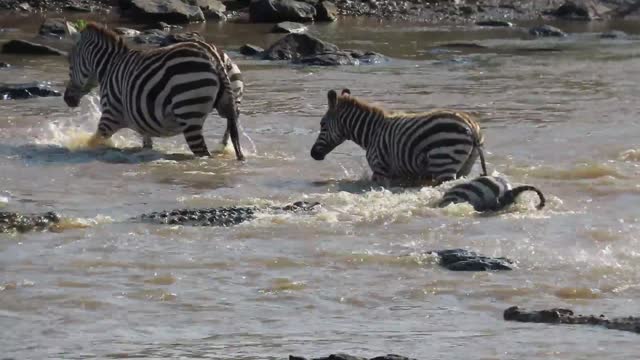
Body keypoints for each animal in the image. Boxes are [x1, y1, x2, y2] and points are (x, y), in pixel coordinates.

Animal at [62, 20, 245, 160]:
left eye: (70, 62)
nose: (67, 99)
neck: (109, 66)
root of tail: (214, 56)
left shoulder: (110, 115)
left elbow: (92, 143)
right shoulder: (143, 124)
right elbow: (146, 146)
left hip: (189, 110)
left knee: (203, 153)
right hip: (230, 104)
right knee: (230, 133)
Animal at [308, 89, 484, 187]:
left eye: (322, 124)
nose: (313, 154)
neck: (372, 133)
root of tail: (470, 125)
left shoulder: (380, 169)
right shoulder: (401, 174)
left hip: (443, 161)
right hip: (465, 166)